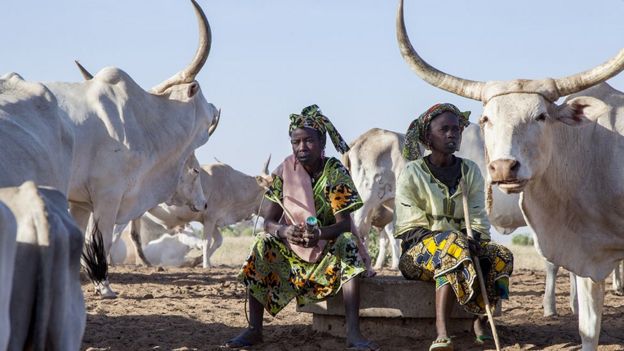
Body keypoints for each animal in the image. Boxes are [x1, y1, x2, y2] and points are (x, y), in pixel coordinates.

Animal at [127, 158, 272, 268]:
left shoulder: (211, 220)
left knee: (134, 235)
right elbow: (207, 242)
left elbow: (218, 241)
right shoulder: (210, 218)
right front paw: (206, 265)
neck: (232, 185)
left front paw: (198, 260)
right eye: (271, 192)